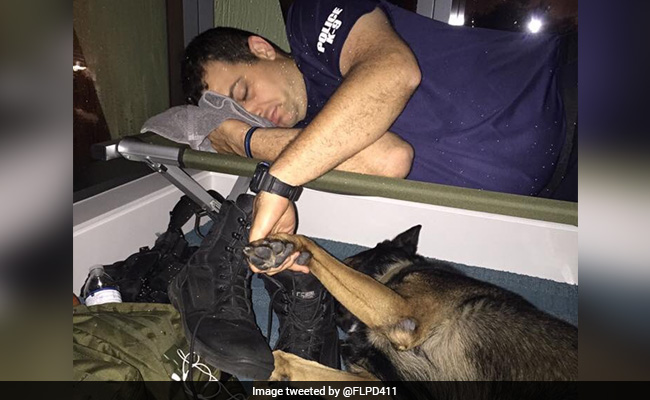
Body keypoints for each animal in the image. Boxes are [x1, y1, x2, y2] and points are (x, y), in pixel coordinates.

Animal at [244, 225, 576, 390]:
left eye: (352, 258)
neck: (398, 269)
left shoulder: (402, 311)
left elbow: (317, 251)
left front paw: (285, 246)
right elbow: (295, 363)